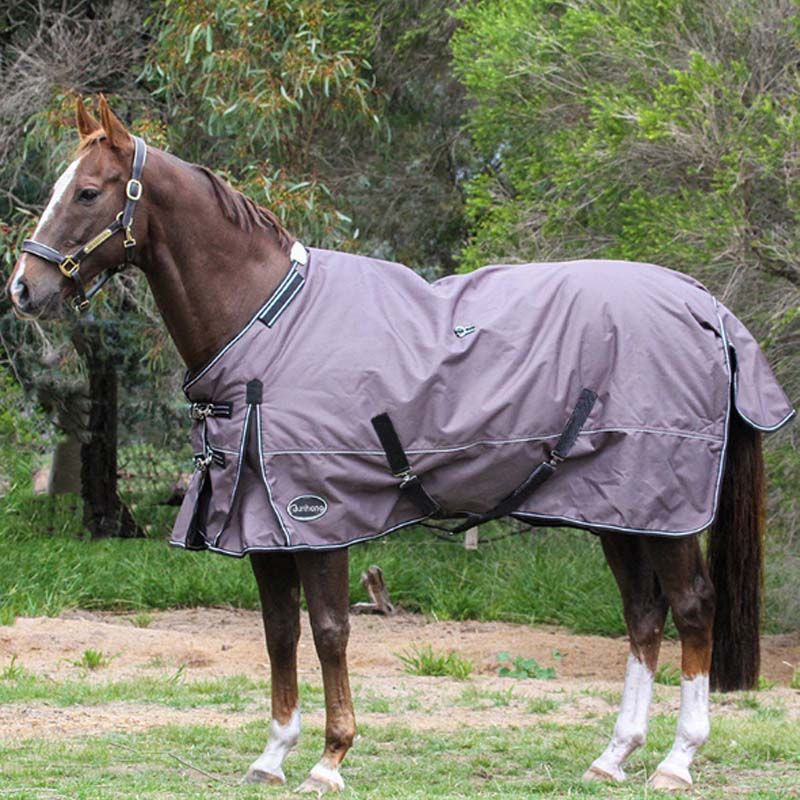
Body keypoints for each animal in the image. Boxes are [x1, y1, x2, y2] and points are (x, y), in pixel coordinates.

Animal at [5, 97, 794, 794]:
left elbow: (328, 631)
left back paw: (676, 762)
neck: (268, 324)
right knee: (642, 613)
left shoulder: (318, 516)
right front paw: (272, 756)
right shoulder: (263, 525)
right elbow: (278, 633)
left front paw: (329, 760)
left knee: (691, 607)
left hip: (667, 511)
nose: (23, 288)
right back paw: (613, 757)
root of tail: (707, 308)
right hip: (620, 511)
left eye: (88, 192)